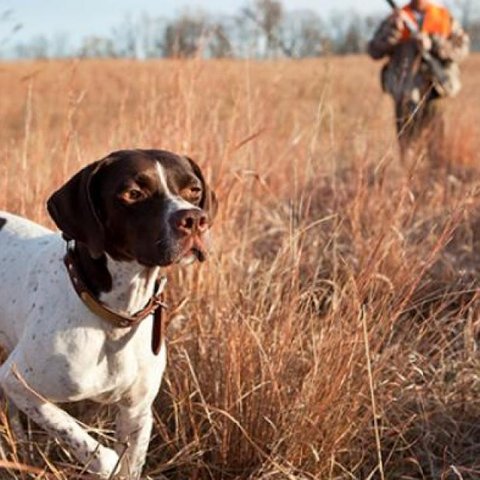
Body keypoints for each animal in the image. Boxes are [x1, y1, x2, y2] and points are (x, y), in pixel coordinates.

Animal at [0, 149, 216, 476]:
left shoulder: (136, 411)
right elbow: (92, 447)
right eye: (133, 193)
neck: (116, 317)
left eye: (194, 190)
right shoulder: (17, 381)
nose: (194, 219)